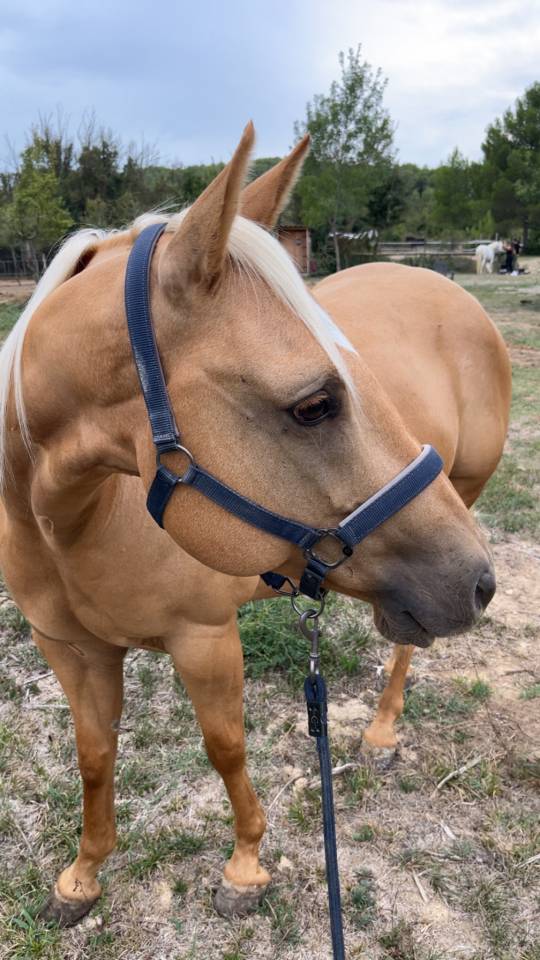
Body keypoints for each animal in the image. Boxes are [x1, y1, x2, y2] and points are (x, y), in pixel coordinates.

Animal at [0, 125, 509, 927]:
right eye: (314, 404)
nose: (479, 584)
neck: (70, 525)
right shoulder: (69, 649)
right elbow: (93, 757)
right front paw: (81, 875)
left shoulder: (204, 638)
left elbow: (225, 747)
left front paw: (245, 868)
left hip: (462, 502)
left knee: (405, 650)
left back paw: (382, 732)